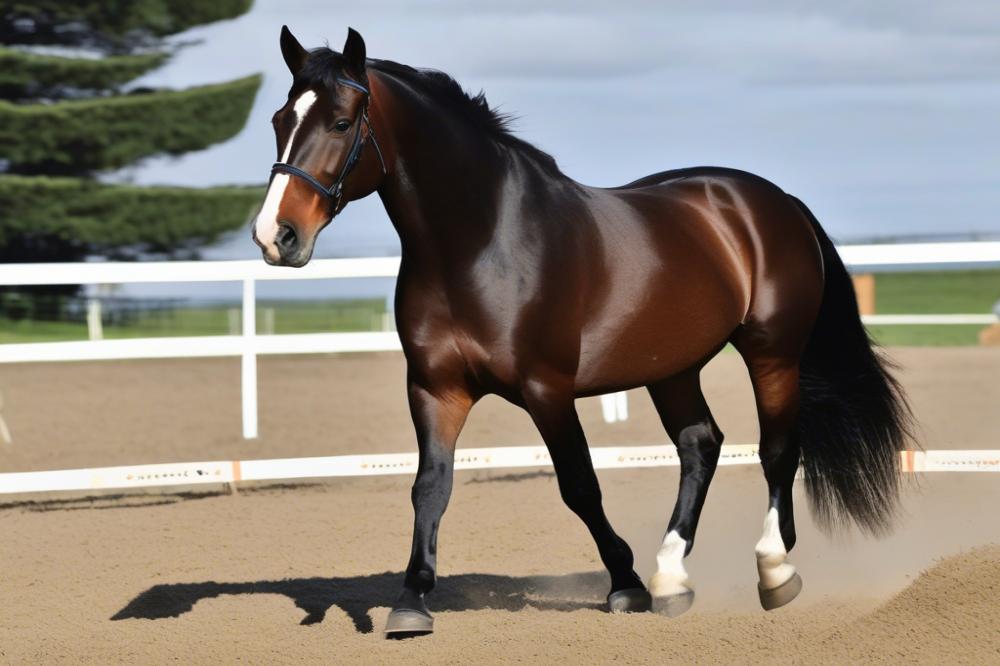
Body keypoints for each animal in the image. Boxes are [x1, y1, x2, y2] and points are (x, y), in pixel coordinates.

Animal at [252, 28, 916, 636]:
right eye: (280, 120)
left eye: (342, 122)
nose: (276, 235)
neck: (479, 244)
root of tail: (773, 199)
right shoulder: (436, 389)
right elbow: (430, 488)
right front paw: (412, 600)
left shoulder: (548, 390)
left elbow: (580, 486)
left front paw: (624, 585)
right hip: (673, 368)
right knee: (700, 446)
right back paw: (671, 578)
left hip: (772, 352)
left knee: (777, 448)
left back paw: (773, 571)